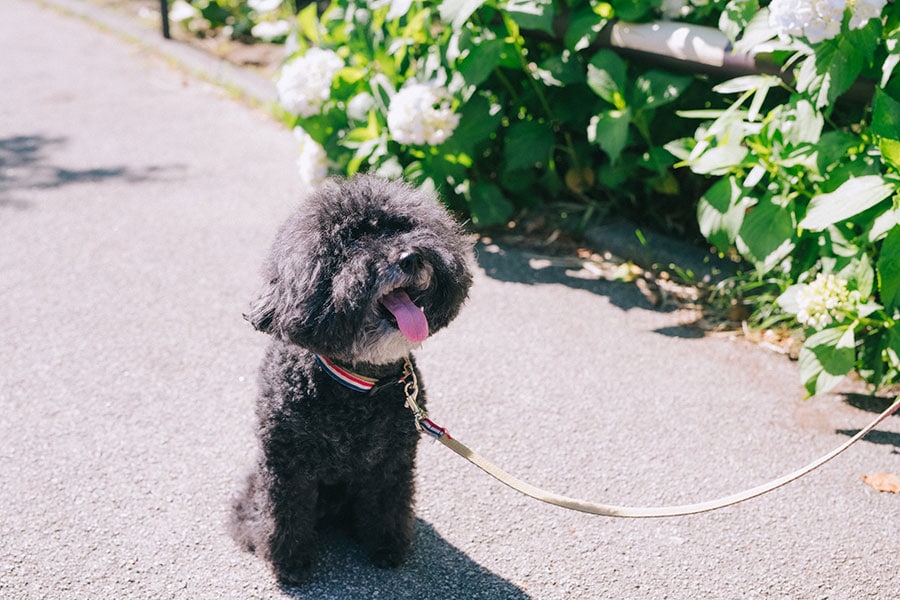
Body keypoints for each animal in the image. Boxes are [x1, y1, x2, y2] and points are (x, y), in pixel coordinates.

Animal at [229, 175, 474, 584]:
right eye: (352, 244)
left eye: (401, 227)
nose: (411, 258)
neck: (357, 386)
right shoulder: (286, 465)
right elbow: (286, 514)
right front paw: (291, 563)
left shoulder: (393, 463)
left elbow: (389, 506)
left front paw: (387, 547)